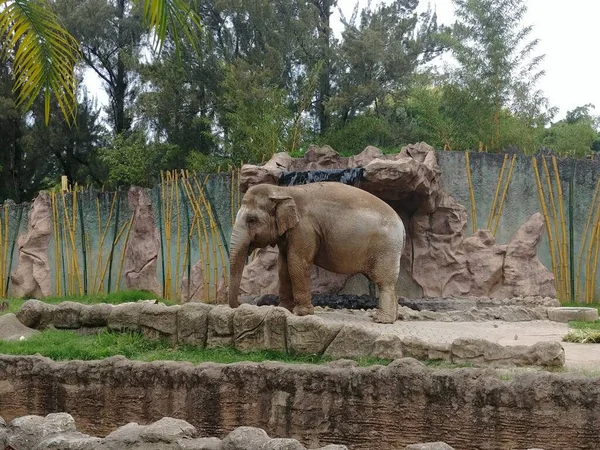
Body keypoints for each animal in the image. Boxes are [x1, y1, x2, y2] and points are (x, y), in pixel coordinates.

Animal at [227, 182, 406, 324]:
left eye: (252, 220)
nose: (240, 304)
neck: (283, 190)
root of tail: (402, 226)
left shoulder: (304, 228)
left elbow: (297, 262)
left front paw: (301, 313)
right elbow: (283, 264)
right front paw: (284, 309)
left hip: (386, 248)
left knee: (384, 281)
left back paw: (382, 320)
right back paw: (393, 318)